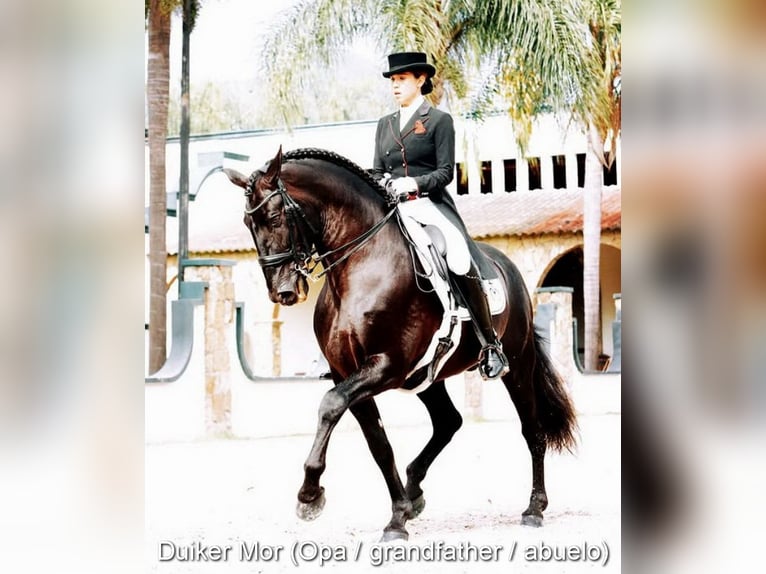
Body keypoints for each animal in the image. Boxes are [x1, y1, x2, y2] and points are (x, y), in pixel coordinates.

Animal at [224, 146, 577, 541]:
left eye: (274, 216)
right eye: (247, 224)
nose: (282, 292)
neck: (360, 265)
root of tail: (507, 266)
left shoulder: (386, 366)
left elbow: (330, 405)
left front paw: (309, 495)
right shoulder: (347, 372)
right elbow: (379, 445)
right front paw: (397, 516)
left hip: (517, 363)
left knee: (532, 430)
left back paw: (534, 508)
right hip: (427, 376)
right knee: (449, 422)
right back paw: (414, 493)